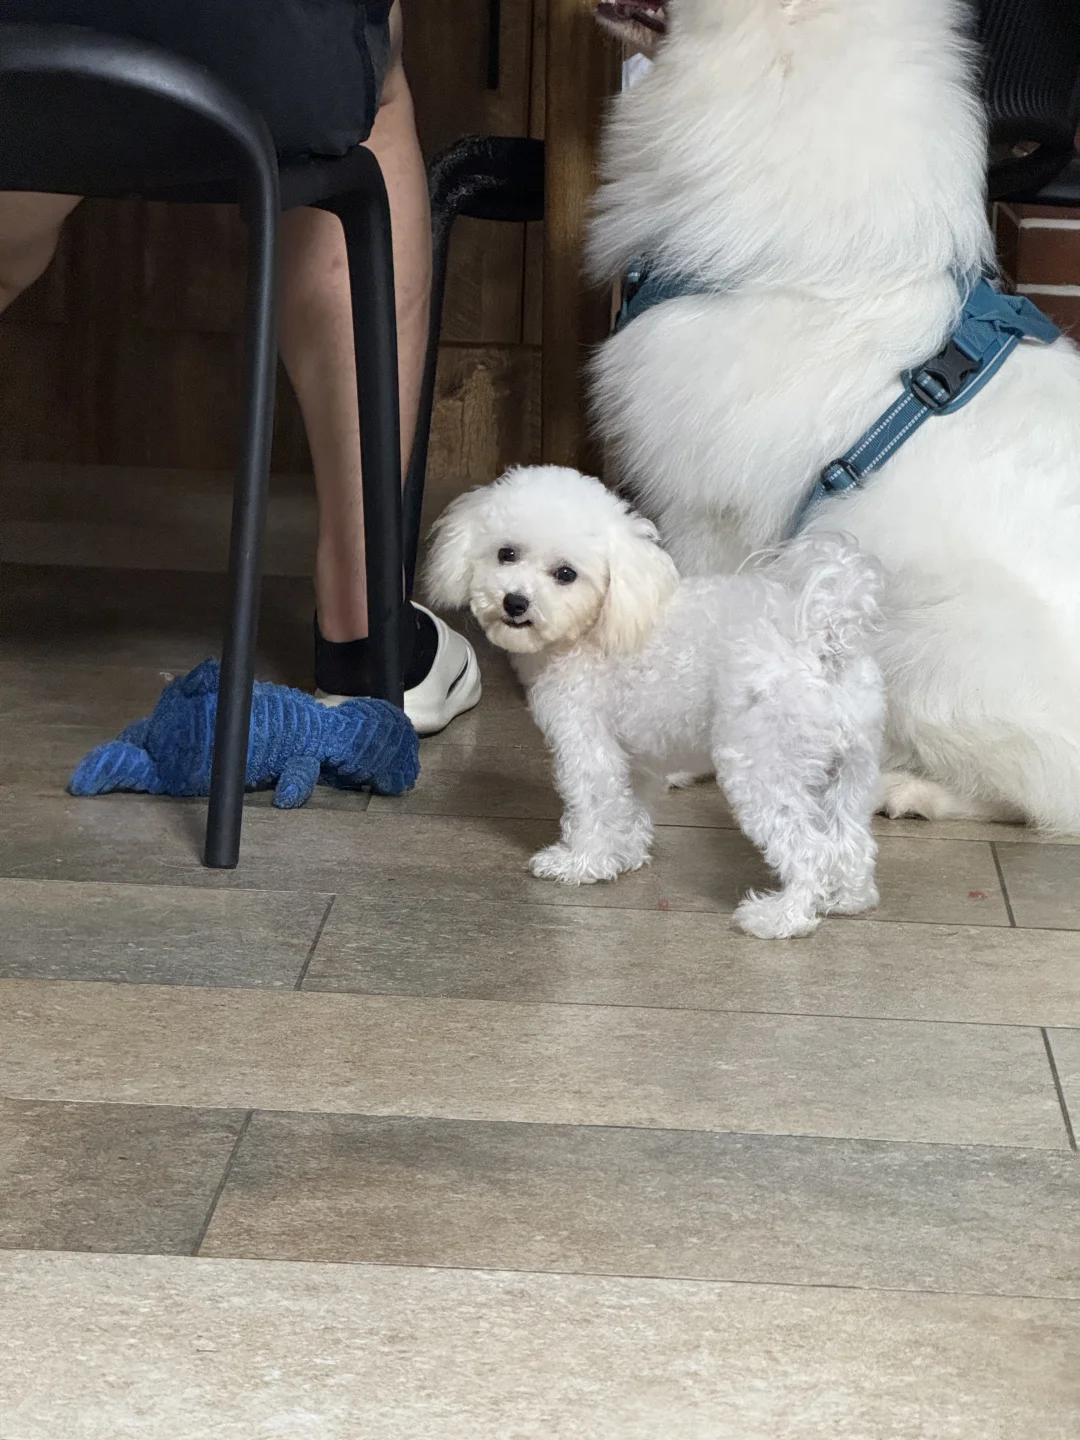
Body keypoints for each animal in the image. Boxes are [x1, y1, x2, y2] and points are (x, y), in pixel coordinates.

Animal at [426, 465, 885, 939]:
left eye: (566, 574)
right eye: (506, 553)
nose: (515, 602)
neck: (596, 623)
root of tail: (825, 637)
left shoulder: (587, 743)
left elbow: (593, 806)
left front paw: (581, 863)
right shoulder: (637, 756)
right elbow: (630, 806)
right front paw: (623, 855)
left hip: (763, 766)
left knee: (810, 849)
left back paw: (781, 917)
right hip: (851, 769)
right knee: (852, 839)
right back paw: (847, 898)